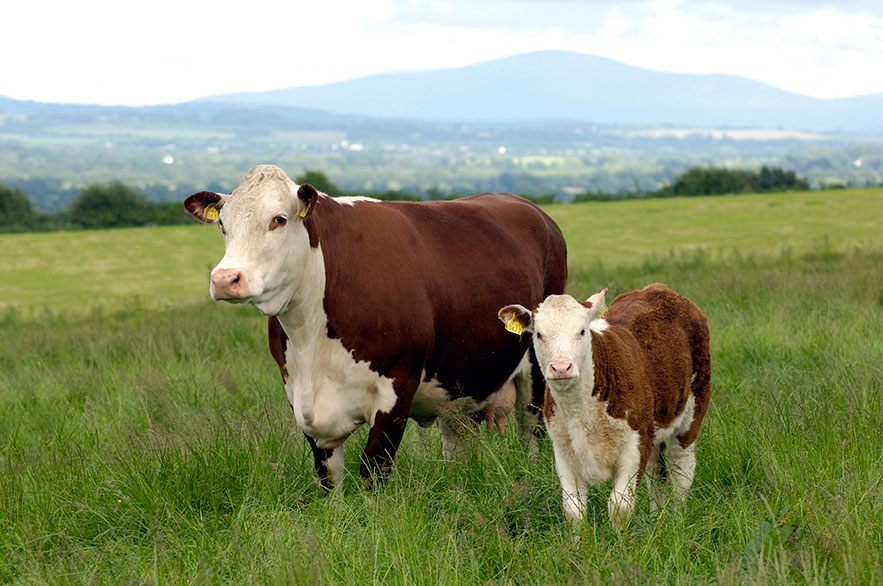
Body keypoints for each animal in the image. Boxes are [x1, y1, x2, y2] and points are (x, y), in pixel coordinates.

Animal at [186, 165, 568, 488]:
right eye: (223, 225)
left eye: (278, 219)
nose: (225, 279)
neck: (312, 341)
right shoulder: (299, 394)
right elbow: (327, 478)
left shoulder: (398, 386)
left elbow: (374, 470)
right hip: (461, 380)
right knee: (459, 445)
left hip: (536, 375)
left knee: (532, 436)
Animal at [500, 282, 716, 524]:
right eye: (539, 334)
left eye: (582, 331)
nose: (561, 368)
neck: (581, 411)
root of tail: (660, 289)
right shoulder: (563, 448)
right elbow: (574, 510)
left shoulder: (635, 444)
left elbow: (619, 506)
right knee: (657, 473)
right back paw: (656, 520)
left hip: (694, 407)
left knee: (681, 469)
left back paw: (677, 520)